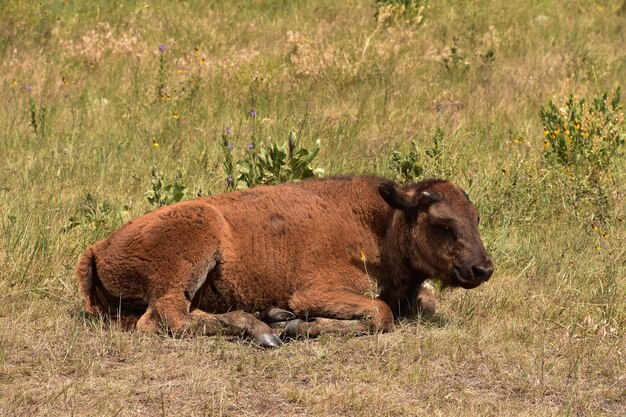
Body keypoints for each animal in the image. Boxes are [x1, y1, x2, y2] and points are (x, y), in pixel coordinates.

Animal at [74, 175, 492, 344]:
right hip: (189, 261)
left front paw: (289, 322)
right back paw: (263, 330)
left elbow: (424, 302)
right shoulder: (313, 292)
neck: (382, 224)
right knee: (169, 319)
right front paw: (298, 327)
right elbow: (381, 313)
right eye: (442, 223)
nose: (483, 269)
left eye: (476, 218)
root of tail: (97, 248)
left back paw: (269, 318)